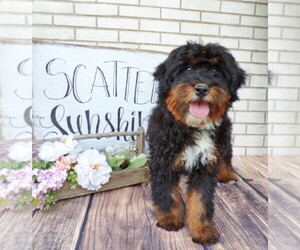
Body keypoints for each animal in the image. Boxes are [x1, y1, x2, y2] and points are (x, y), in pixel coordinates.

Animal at [146, 42, 245, 244]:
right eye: (187, 69)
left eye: (216, 70)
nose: (201, 88)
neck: (192, 126)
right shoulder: (163, 161)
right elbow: (167, 192)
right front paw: (169, 218)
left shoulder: (206, 165)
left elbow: (201, 200)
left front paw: (202, 230)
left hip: (224, 139)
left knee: (226, 157)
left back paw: (227, 173)